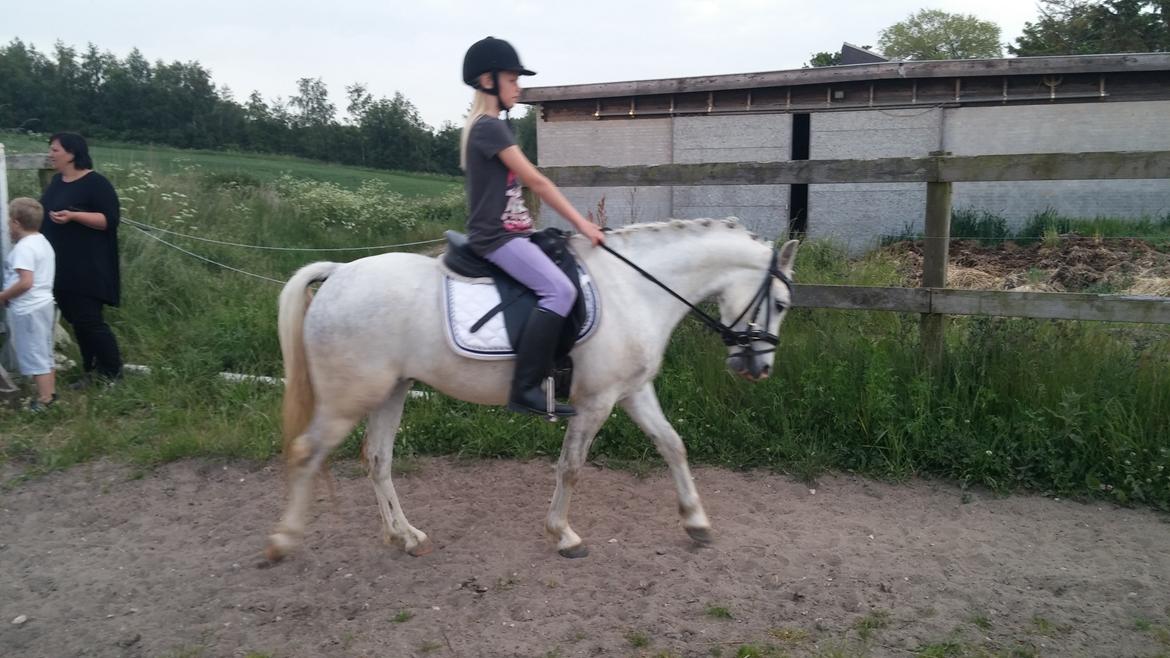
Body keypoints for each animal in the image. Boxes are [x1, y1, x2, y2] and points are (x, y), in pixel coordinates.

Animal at [266, 218, 800, 561]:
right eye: (780, 303)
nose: (759, 367)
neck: (635, 289)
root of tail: (339, 273)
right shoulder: (595, 402)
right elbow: (571, 468)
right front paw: (562, 535)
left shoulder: (632, 391)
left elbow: (673, 445)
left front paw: (696, 523)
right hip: (347, 398)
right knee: (307, 452)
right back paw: (283, 541)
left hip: (391, 391)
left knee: (377, 460)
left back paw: (405, 536)